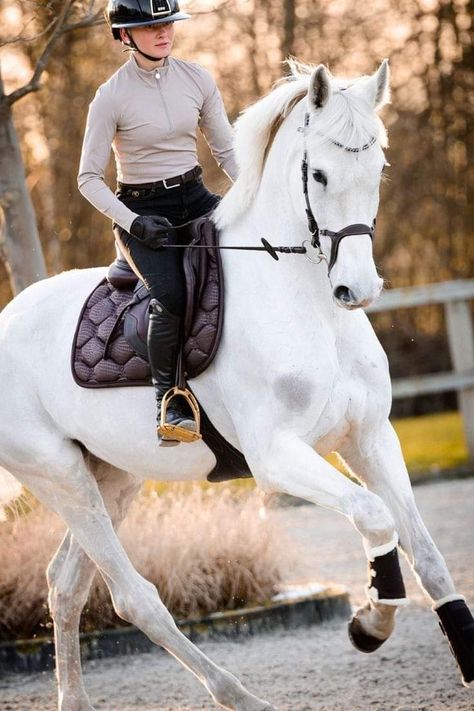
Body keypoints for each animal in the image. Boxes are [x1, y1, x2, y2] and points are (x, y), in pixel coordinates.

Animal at [0, 61, 474, 711]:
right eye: (319, 174)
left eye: (378, 168)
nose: (357, 289)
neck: (310, 307)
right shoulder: (276, 456)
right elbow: (374, 516)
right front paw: (370, 623)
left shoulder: (371, 438)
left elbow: (426, 551)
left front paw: (467, 656)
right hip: (60, 477)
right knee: (133, 598)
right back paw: (240, 695)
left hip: (111, 477)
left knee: (64, 585)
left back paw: (74, 699)